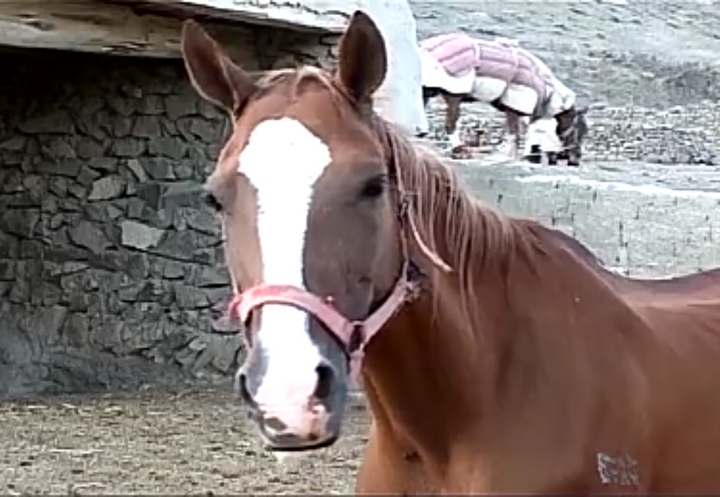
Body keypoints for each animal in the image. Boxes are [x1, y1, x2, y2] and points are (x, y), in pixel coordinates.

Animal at [419, 32, 589, 166]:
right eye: (579, 130)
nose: (576, 160)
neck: (546, 88)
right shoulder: (513, 108)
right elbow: (515, 136)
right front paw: (510, 157)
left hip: (428, 90)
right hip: (454, 94)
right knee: (450, 125)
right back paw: (460, 150)